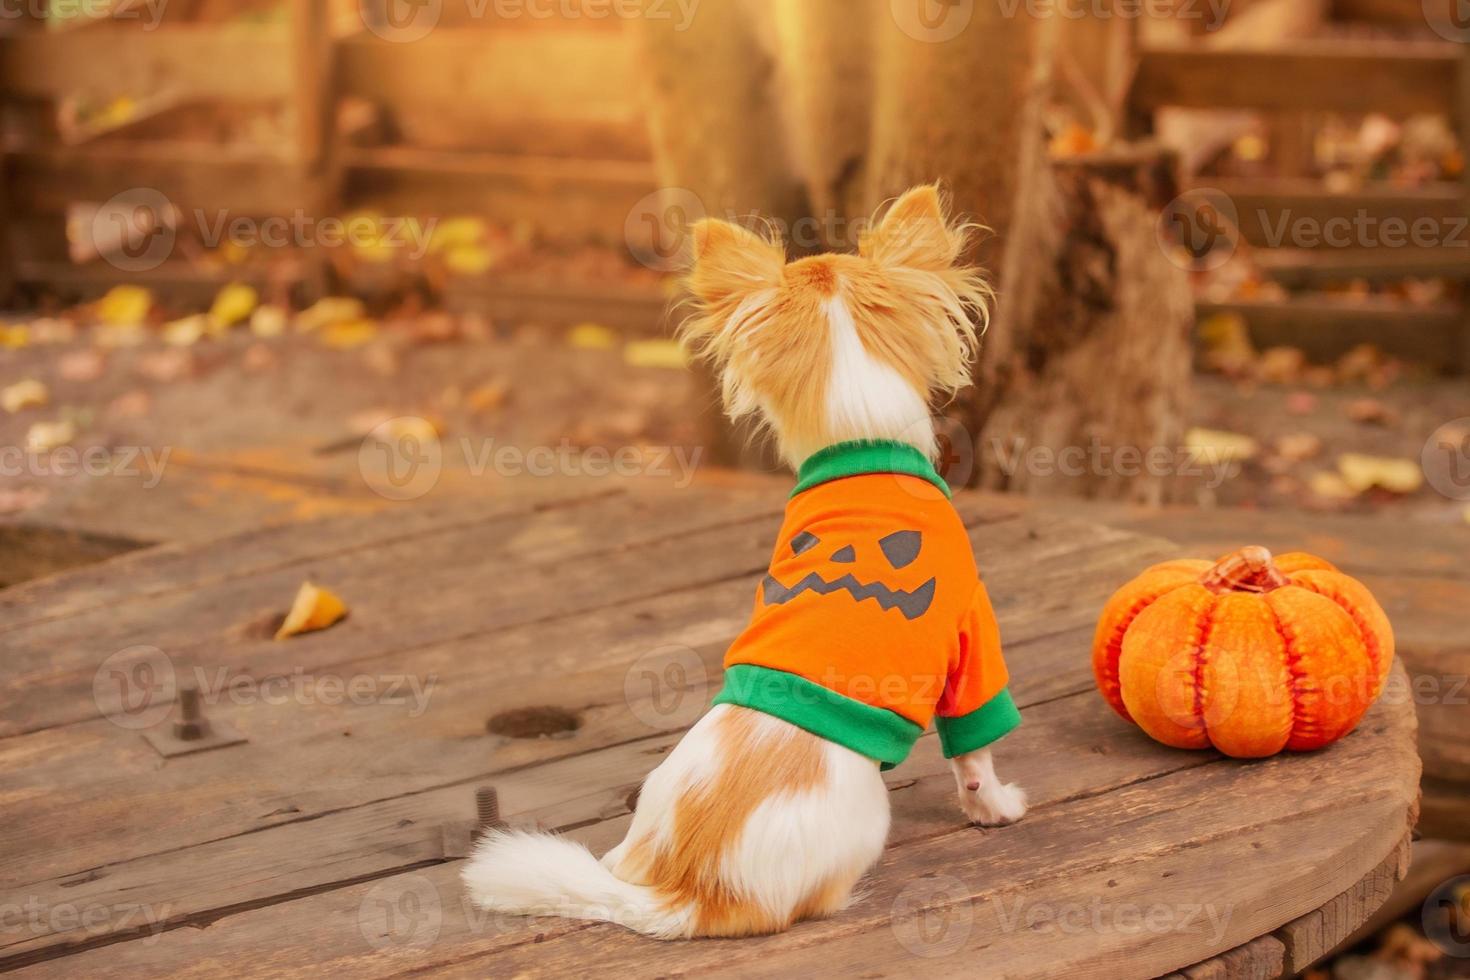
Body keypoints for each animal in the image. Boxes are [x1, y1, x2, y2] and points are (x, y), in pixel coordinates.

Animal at [464, 183, 1029, 940]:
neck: (860, 441)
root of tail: (683, 889)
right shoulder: (973, 634)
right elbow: (975, 745)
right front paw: (993, 806)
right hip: (863, 822)